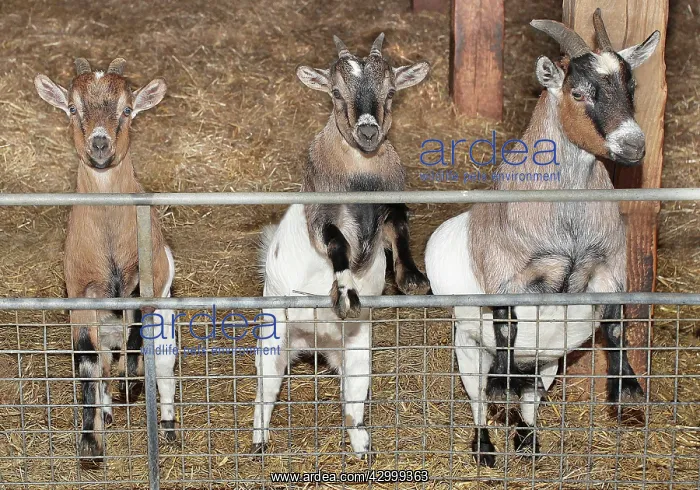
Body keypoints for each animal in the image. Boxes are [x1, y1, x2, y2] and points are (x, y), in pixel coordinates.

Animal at [35, 58, 177, 462]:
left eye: (127, 110)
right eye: (72, 108)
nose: (100, 143)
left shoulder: (147, 281)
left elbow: (137, 330)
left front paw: (132, 381)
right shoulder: (81, 294)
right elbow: (86, 362)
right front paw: (90, 441)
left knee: (163, 368)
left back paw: (166, 424)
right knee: (103, 364)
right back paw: (109, 408)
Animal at [252, 34, 430, 459]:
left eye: (392, 92)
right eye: (335, 92)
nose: (368, 133)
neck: (360, 173)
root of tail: (316, 343)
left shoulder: (390, 208)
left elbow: (400, 229)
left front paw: (412, 277)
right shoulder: (321, 217)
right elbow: (336, 243)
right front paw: (346, 290)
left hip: (357, 352)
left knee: (352, 405)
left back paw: (362, 444)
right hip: (272, 339)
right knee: (264, 392)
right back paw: (258, 440)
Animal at [424, 10, 660, 467]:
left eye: (632, 87)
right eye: (579, 93)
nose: (633, 146)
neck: (567, 227)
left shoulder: (608, 268)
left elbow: (616, 323)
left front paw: (628, 388)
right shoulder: (505, 277)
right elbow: (506, 325)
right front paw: (501, 387)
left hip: (547, 359)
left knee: (530, 395)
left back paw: (527, 442)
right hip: (467, 345)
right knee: (480, 397)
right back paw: (486, 446)